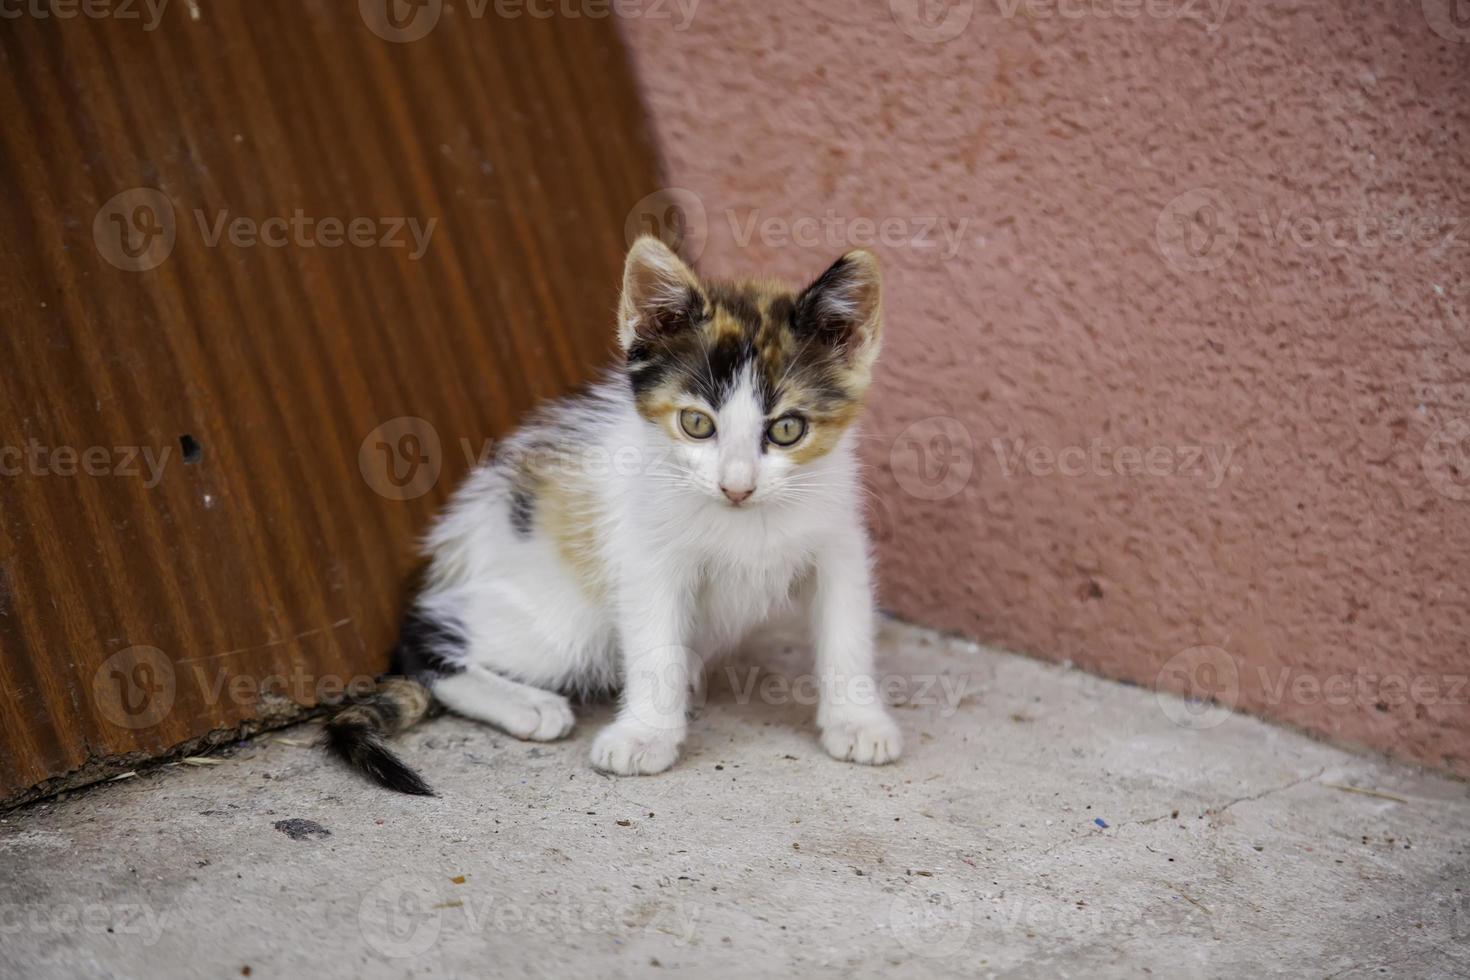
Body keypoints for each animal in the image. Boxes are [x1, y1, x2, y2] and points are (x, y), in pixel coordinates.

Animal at [327, 238, 899, 799]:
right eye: (696, 424)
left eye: (786, 429)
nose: (736, 487)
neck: (746, 519)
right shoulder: (646, 557)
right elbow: (652, 644)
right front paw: (645, 735)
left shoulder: (839, 542)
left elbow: (847, 628)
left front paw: (857, 721)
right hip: (564, 624)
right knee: (421, 638)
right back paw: (528, 704)